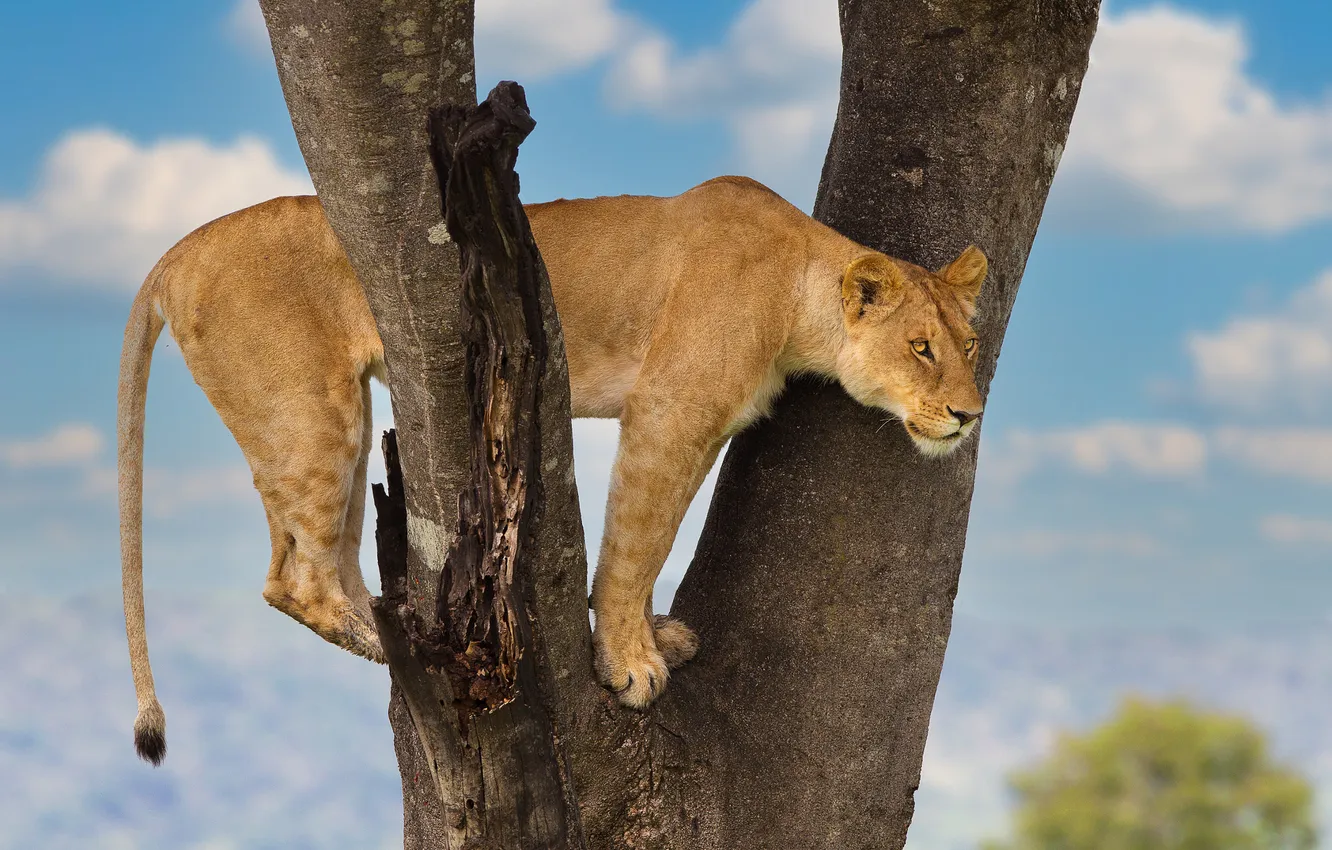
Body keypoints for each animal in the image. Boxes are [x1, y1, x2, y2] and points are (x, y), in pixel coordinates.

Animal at [119, 175, 986, 763]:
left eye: (969, 347)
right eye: (920, 348)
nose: (971, 415)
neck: (799, 288)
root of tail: (180, 250)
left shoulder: (702, 428)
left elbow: (654, 541)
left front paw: (651, 637)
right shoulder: (669, 412)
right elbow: (638, 540)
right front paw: (629, 665)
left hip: (331, 422)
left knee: (301, 562)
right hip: (310, 417)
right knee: (294, 579)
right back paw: (403, 650)